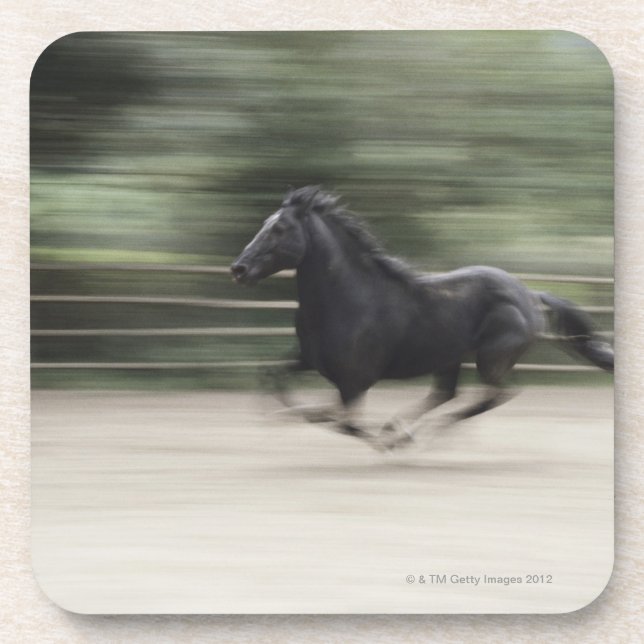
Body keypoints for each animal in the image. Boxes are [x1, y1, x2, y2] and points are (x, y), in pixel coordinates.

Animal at [231, 186, 613, 449]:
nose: (239, 269)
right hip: (451, 358)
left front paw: (383, 439)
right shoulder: (309, 360)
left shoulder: (355, 380)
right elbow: (274, 378)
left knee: (494, 395)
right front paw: (271, 417)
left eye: (279, 229)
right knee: (448, 394)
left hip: (492, 359)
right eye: (266, 224)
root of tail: (531, 296)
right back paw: (407, 431)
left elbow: (341, 420)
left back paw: (416, 434)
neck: (349, 299)